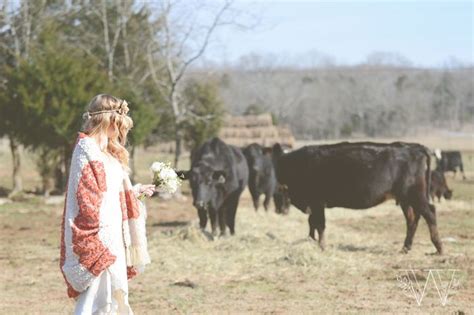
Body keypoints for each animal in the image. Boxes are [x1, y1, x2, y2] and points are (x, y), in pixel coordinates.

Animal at [272, 142, 442, 256]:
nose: (279, 210)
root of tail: (413, 147)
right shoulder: (313, 205)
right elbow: (312, 223)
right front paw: (311, 241)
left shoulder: (317, 202)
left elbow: (319, 224)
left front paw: (321, 247)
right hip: (405, 199)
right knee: (412, 219)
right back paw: (405, 248)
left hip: (415, 195)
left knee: (430, 213)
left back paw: (439, 248)